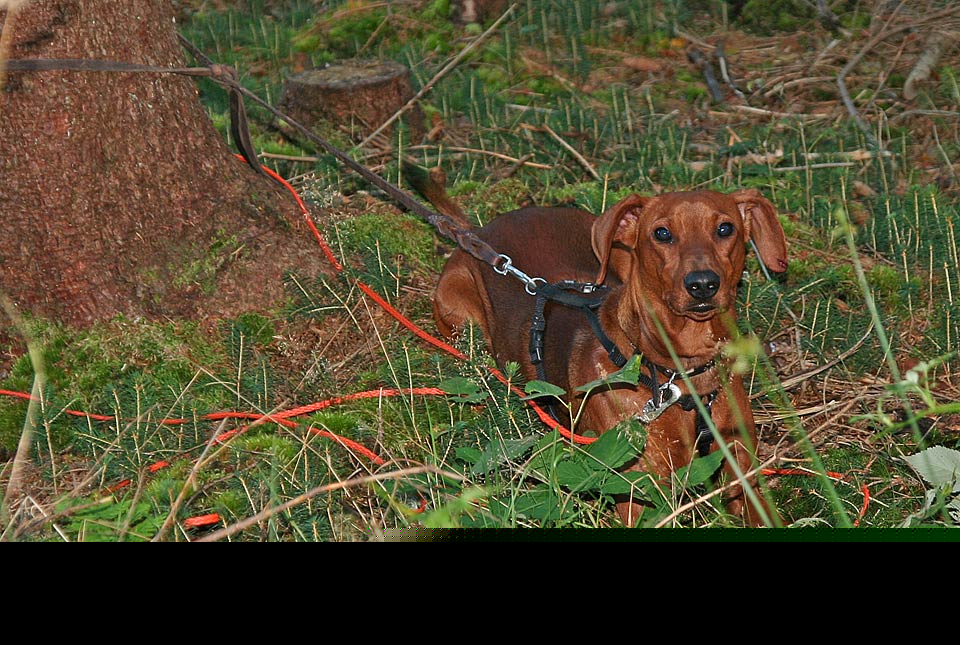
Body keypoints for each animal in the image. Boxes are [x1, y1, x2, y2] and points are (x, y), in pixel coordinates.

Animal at [409, 167, 787, 527]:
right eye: (662, 233)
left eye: (725, 229)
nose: (703, 284)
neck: (680, 376)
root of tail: (480, 233)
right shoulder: (640, 493)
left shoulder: (745, 473)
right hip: (459, 315)